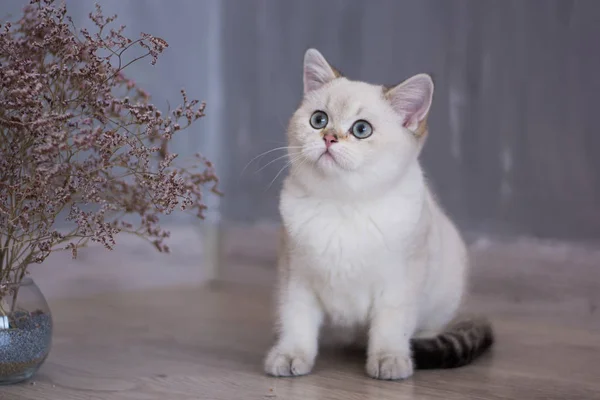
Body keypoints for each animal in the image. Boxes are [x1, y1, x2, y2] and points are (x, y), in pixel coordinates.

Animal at [264, 48, 492, 380]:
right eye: (319, 120)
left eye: (361, 130)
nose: (329, 138)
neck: (343, 204)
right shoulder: (295, 278)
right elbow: (296, 321)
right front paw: (291, 354)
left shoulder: (399, 284)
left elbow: (390, 327)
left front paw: (389, 360)